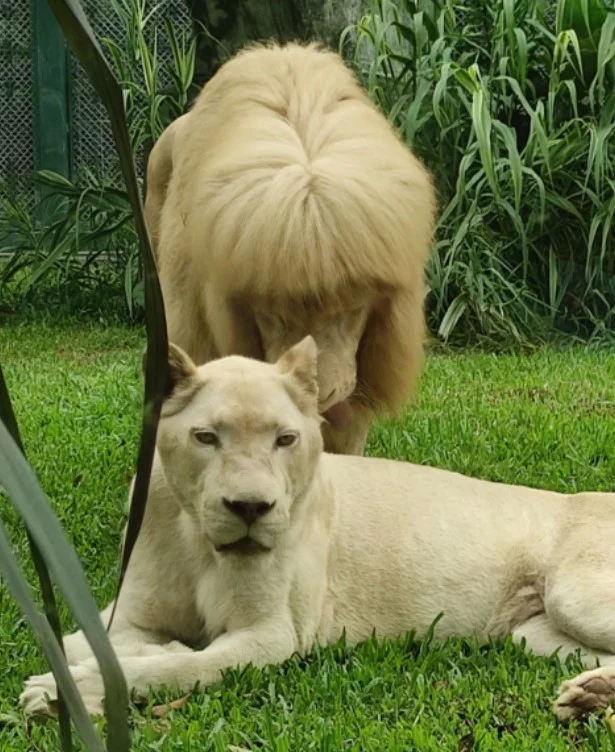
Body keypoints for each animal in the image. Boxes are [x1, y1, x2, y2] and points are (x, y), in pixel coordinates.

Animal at [20, 339, 615, 724]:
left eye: (285, 439)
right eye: (206, 437)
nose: (251, 508)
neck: (196, 539)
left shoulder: (270, 636)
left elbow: (174, 669)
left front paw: (58, 691)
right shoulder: (131, 617)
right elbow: (88, 640)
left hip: (574, 596)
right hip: (532, 633)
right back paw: (591, 695)